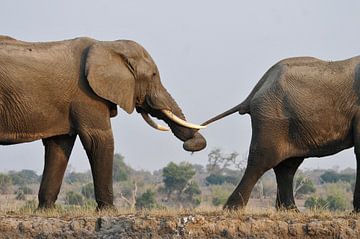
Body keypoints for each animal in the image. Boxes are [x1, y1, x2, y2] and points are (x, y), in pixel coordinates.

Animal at [0, 35, 207, 209]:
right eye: (154, 76)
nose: (191, 145)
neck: (107, 45)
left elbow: (59, 145)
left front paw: (46, 211)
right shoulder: (86, 95)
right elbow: (98, 140)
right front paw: (109, 210)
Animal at [202, 55, 360, 211]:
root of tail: (258, 87)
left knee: (287, 166)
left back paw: (290, 210)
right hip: (272, 117)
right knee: (261, 161)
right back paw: (233, 209)